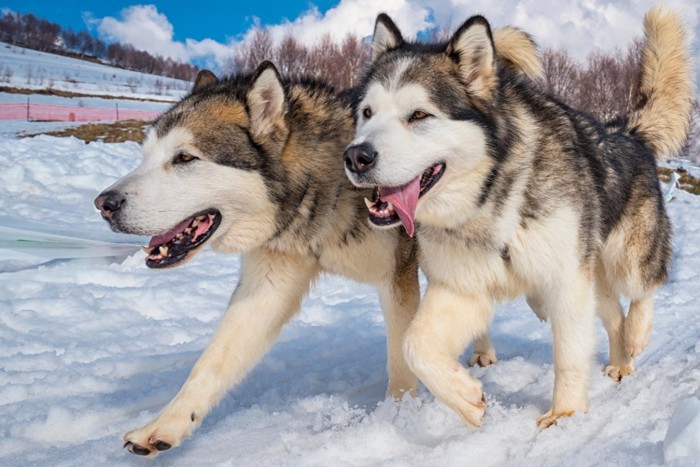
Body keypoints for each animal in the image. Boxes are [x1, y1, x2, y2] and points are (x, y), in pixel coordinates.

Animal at [94, 28, 540, 458]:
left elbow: (401, 357)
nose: (104, 204)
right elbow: (209, 365)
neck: (320, 188)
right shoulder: (268, 287)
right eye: (145, 156)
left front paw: (399, 418)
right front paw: (163, 426)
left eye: (185, 158)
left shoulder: (397, 278)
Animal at [344, 7, 696, 430]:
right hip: (592, 282)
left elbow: (569, 356)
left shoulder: (566, 280)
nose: (356, 157)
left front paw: (565, 413)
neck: (493, 199)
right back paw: (620, 360)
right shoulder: (462, 287)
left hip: (624, 258)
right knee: (613, 317)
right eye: (367, 113)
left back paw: (637, 336)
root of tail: (624, 131)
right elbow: (415, 344)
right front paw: (465, 398)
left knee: (644, 288)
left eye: (419, 115)